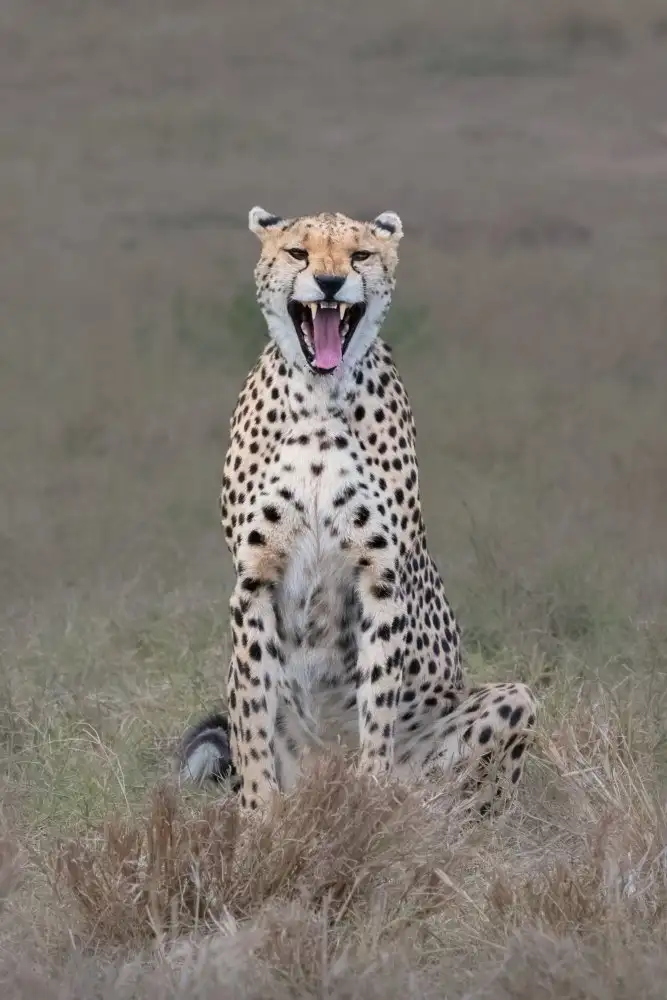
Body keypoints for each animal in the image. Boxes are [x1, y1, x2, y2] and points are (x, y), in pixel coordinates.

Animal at [179, 205, 537, 813]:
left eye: (360, 255)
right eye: (298, 253)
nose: (329, 282)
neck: (321, 397)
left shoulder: (380, 576)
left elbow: (378, 704)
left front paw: (369, 801)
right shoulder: (254, 579)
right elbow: (251, 715)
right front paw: (258, 815)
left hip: (513, 702)